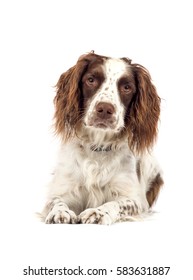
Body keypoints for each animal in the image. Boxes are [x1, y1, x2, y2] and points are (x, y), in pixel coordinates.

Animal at [41, 51, 164, 224]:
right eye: (91, 80)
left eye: (127, 87)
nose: (105, 109)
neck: (97, 146)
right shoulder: (63, 188)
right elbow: (55, 201)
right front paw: (59, 212)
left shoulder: (135, 199)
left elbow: (117, 204)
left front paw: (97, 213)